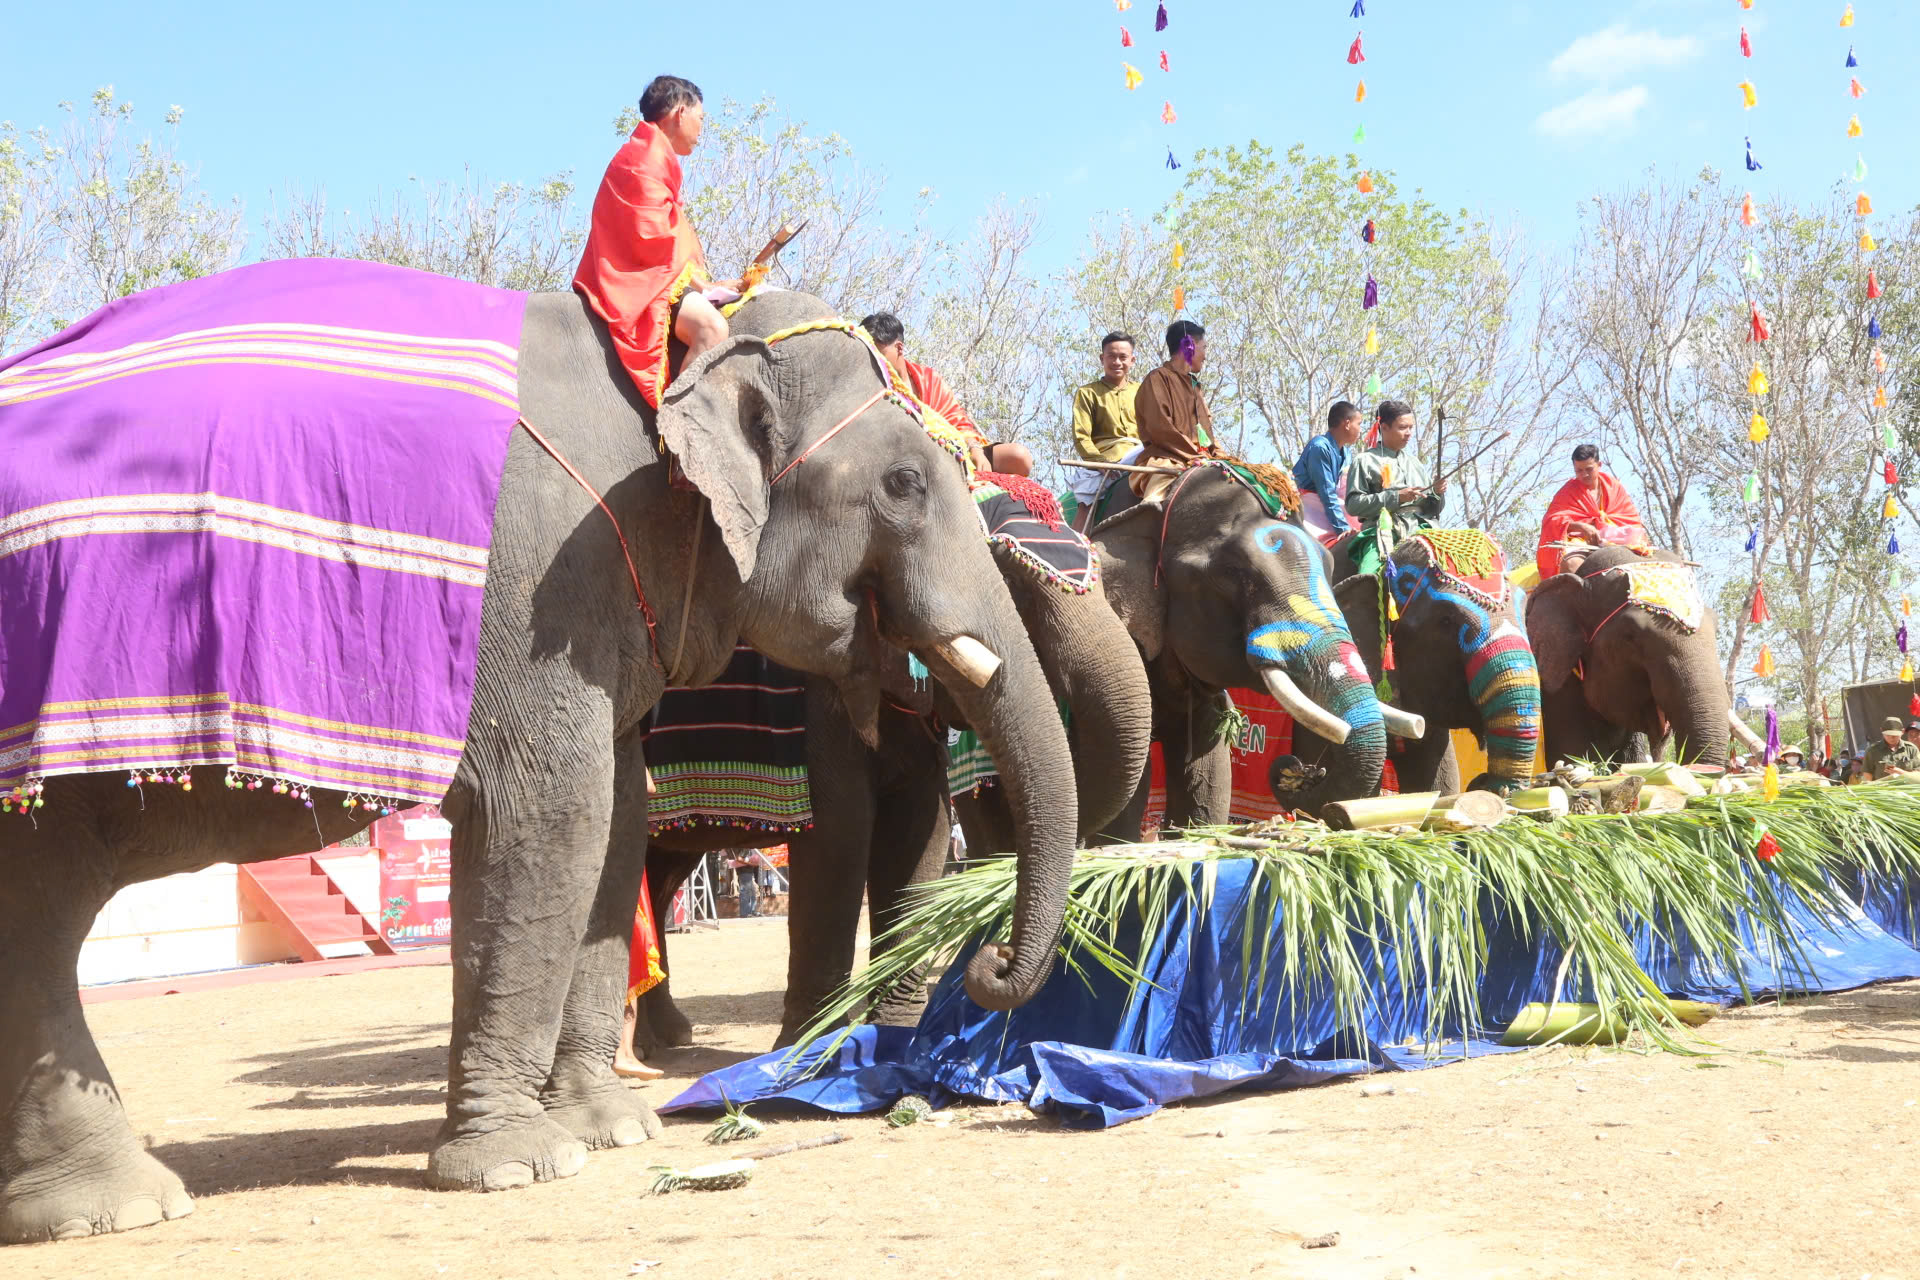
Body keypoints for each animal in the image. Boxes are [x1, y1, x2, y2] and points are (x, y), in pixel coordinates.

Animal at [0, 276, 1082, 1243]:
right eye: (904, 483)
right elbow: (553, 808)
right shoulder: (537, 586)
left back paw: (99, 1204)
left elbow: (614, 819)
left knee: (39, 909)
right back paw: (123, 1207)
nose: (992, 966)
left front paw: (613, 1129)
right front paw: (524, 1163)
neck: (672, 360)